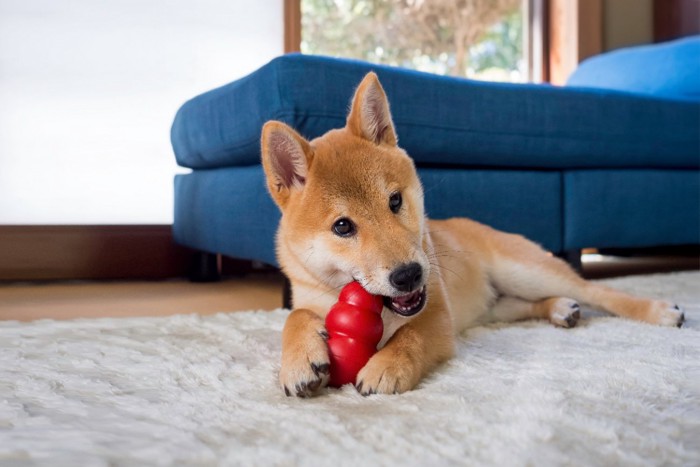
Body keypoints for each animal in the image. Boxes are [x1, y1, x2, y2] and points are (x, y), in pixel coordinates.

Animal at [260, 72, 688, 398]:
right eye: (342, 227)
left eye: (395, 200)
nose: (409, 275)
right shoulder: (308, 296)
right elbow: (294, 315)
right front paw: (298, 360)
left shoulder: (438, 316)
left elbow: (410, 337)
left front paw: (386, 366)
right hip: (497, 304)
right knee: (529, 305)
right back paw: (560, 309)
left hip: (525, 271)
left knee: (598, 291)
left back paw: (658, 311)